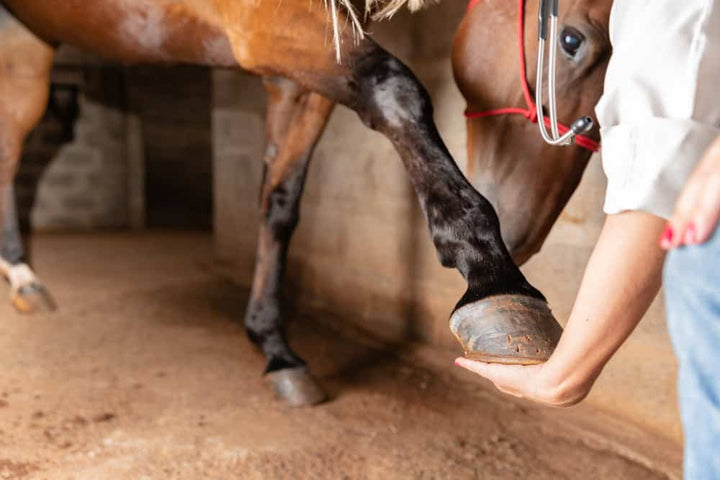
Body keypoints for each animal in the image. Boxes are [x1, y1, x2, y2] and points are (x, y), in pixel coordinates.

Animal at [0, 0, 606, 406]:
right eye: (572, 41)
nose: (522, 233)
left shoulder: (301, 74)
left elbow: (280, 203)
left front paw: (273, 346)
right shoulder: (269, 28)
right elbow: (394, 88)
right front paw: (493, 277)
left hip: (27, 41)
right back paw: (22, 274)